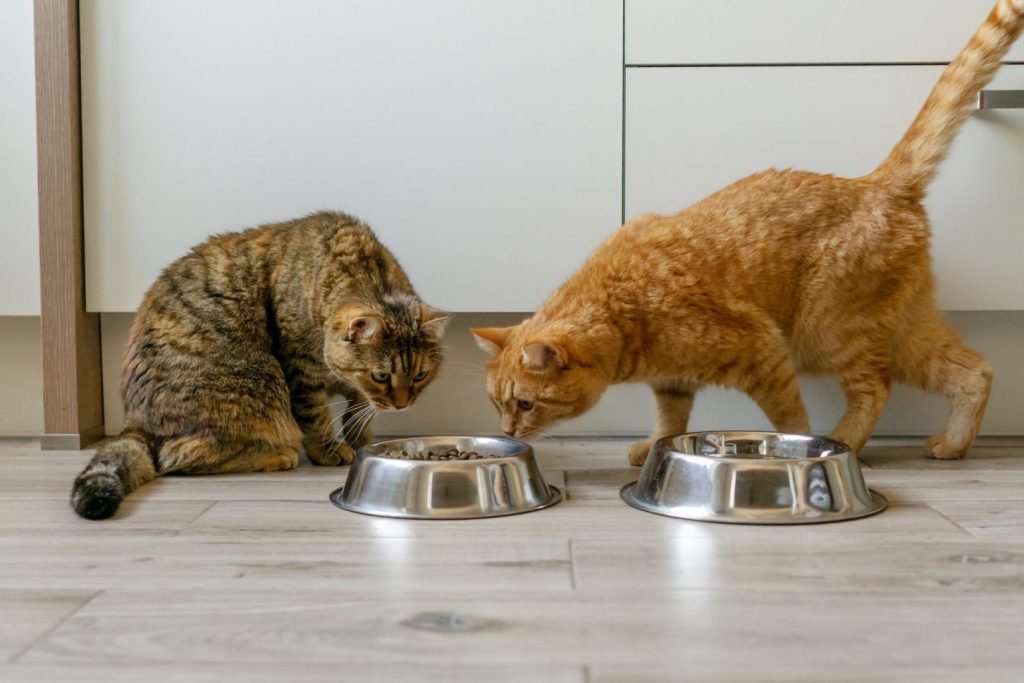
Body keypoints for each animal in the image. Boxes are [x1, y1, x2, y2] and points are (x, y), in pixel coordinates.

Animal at [72, 210, 448, 520]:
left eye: (420, 375)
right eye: (382, 375)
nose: (402, 404)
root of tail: (135, 421)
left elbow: (358, 410)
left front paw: (358, 438)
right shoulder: (301, 369)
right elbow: (316, 416)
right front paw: (329, 449)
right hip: (260, 382)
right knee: (177, 456)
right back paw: (277, 455)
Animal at [475, 0, 1019, 464]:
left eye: (525, 404)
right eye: (497, 403)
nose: (506, 431)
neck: (624, 310)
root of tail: (877, 182)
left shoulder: (764, 351)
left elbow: (790, 417)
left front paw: (798, 448)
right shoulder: (672, 383)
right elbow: (670, 420)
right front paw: (654, 447)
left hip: (828, 331)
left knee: (875, 387)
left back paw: (846, 442)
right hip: (903, 330)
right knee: (974, 371)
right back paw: (953, 443)